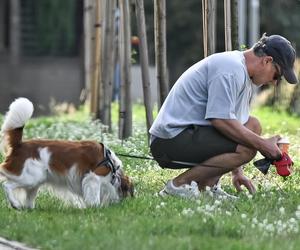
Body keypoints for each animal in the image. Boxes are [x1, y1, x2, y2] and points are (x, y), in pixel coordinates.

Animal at [0, 97, 134, 209]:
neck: (112, 166)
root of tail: (20, 145)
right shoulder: (93, 178)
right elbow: (94, 196)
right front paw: (95, 207)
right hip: (30, 177)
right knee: (7, 185)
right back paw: (15, 204)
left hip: (36, 180)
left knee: (28, 199)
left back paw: (29, 208)